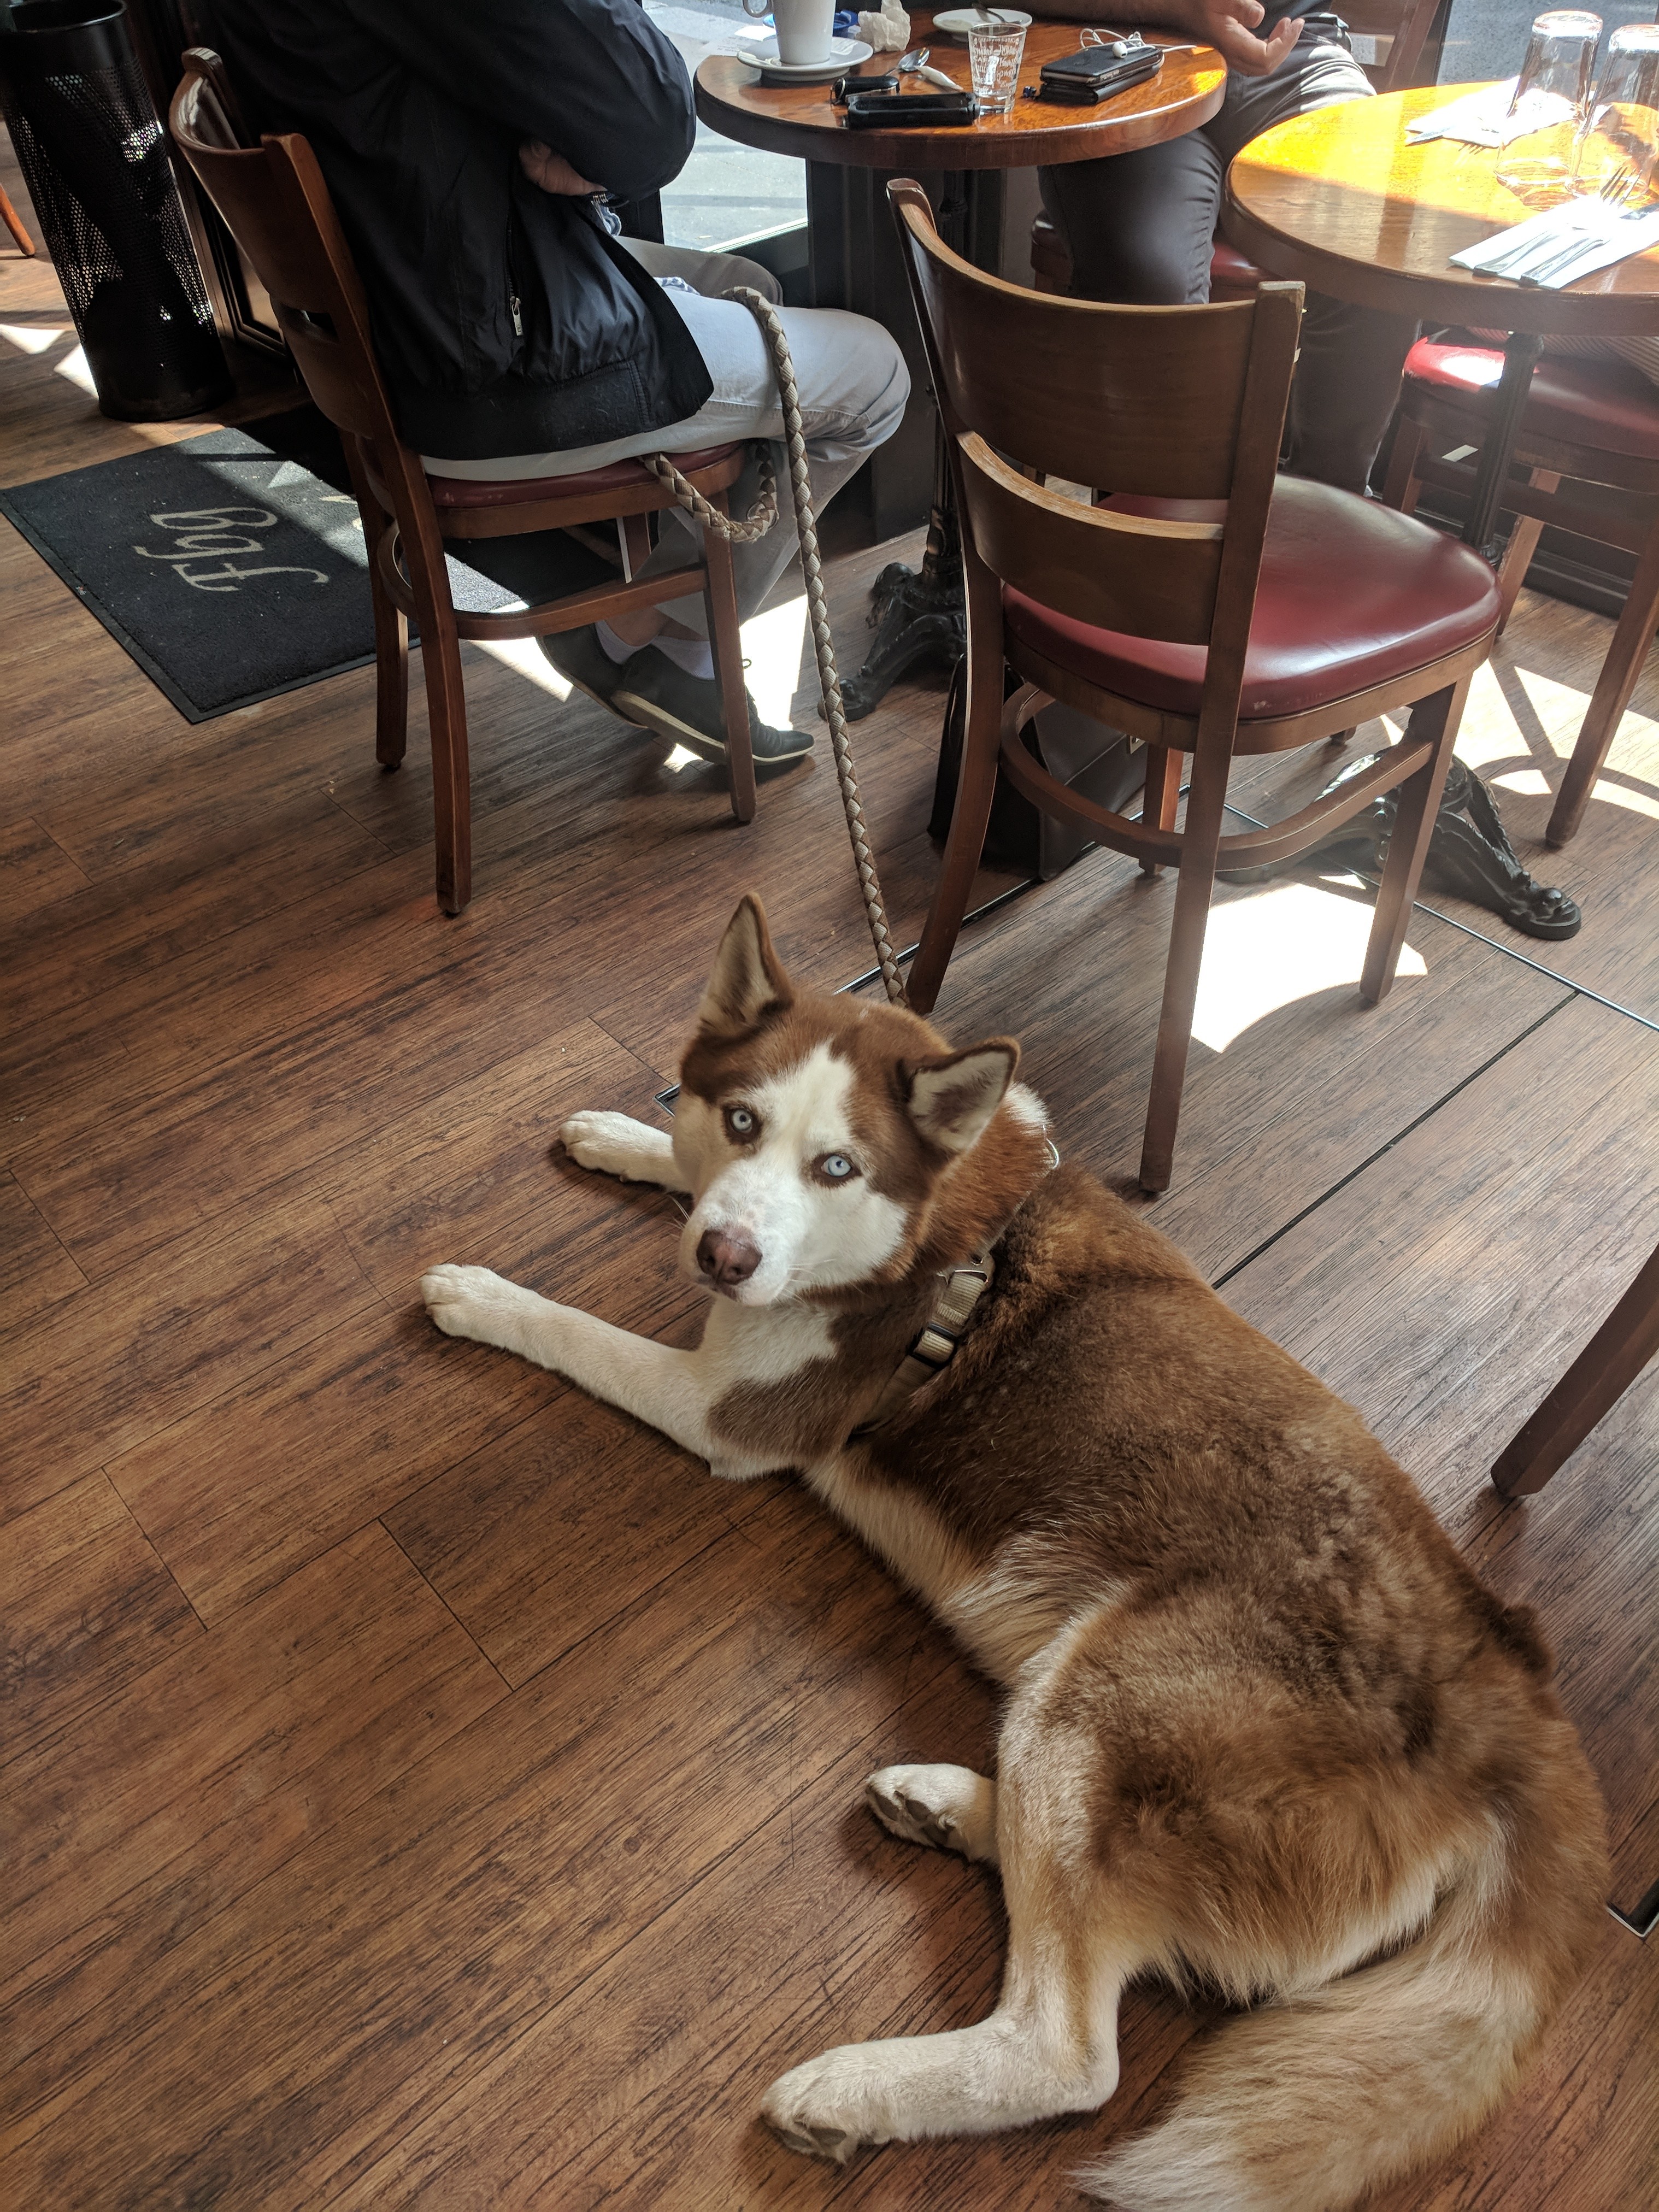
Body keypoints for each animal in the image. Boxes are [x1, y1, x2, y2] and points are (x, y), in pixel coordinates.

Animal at [421, 893, 1608, 2211]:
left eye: (837, 1166)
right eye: (740, 1121)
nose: (726, 1258)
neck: (938, 1223)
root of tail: (1522, 1709)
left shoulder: (726, 1411)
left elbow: (574, 1329)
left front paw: (482, 1293)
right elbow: (670, 1164)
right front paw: (627, 1135)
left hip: (1106, 1690)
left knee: (1068, 2048)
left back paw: (856, 2089)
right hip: (1080, 1734)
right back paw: (948, 1805)